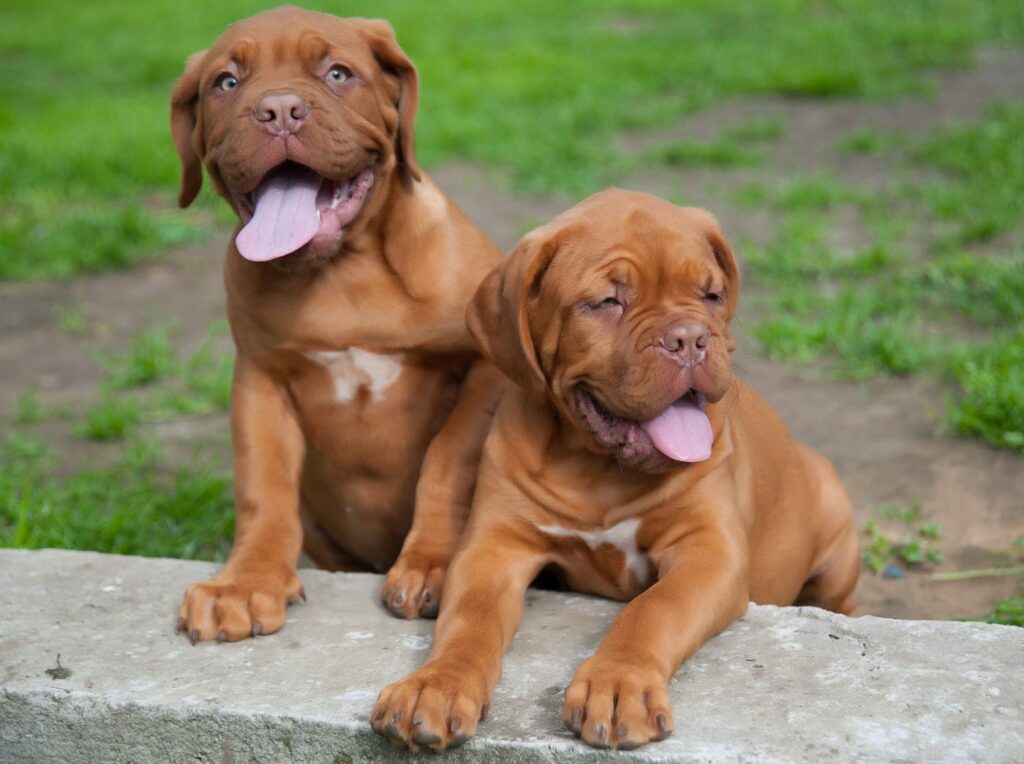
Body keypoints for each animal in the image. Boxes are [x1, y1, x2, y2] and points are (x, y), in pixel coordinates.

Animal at [169, 5, 501, 639]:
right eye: (227, 82)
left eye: (338, 74)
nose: (278, 110)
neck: (340, 275)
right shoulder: (261, 379)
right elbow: (264, 486)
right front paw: (245, 583)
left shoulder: (485, 372)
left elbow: (450, 459)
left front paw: (433, 564)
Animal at [372, 190, 860, 749]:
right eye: (607, 302)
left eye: (711, 295)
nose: (690, 339)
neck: (600, 470)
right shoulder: (495, 547)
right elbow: (468, 619)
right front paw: (435, 685)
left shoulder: (709, 550)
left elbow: (653, 609)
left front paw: (618, 683)